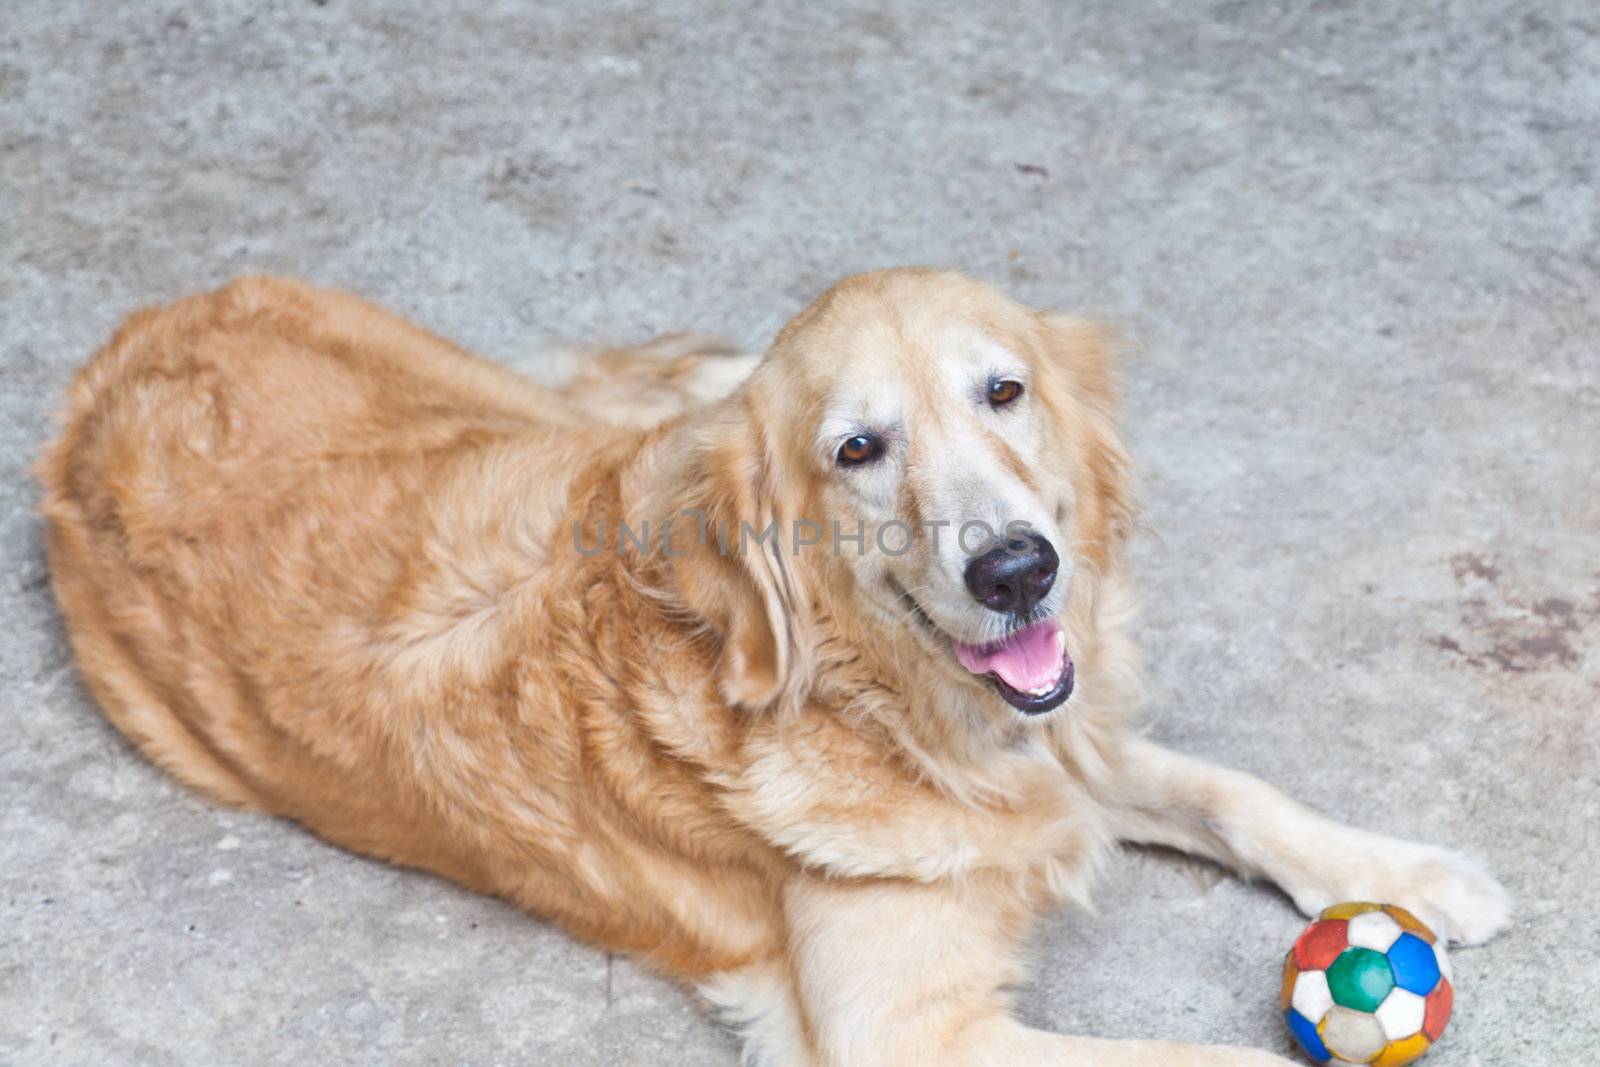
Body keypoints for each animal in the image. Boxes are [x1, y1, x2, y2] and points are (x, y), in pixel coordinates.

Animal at [40, 273, 1510, 1067]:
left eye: (1004, 390)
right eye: (857, 448)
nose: (1016, 571)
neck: (890, 707)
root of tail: (118, 353)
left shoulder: (1066, 740)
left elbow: (1232, 791)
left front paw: (1412, 873)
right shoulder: (910, 1032)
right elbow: (1197, 1052)